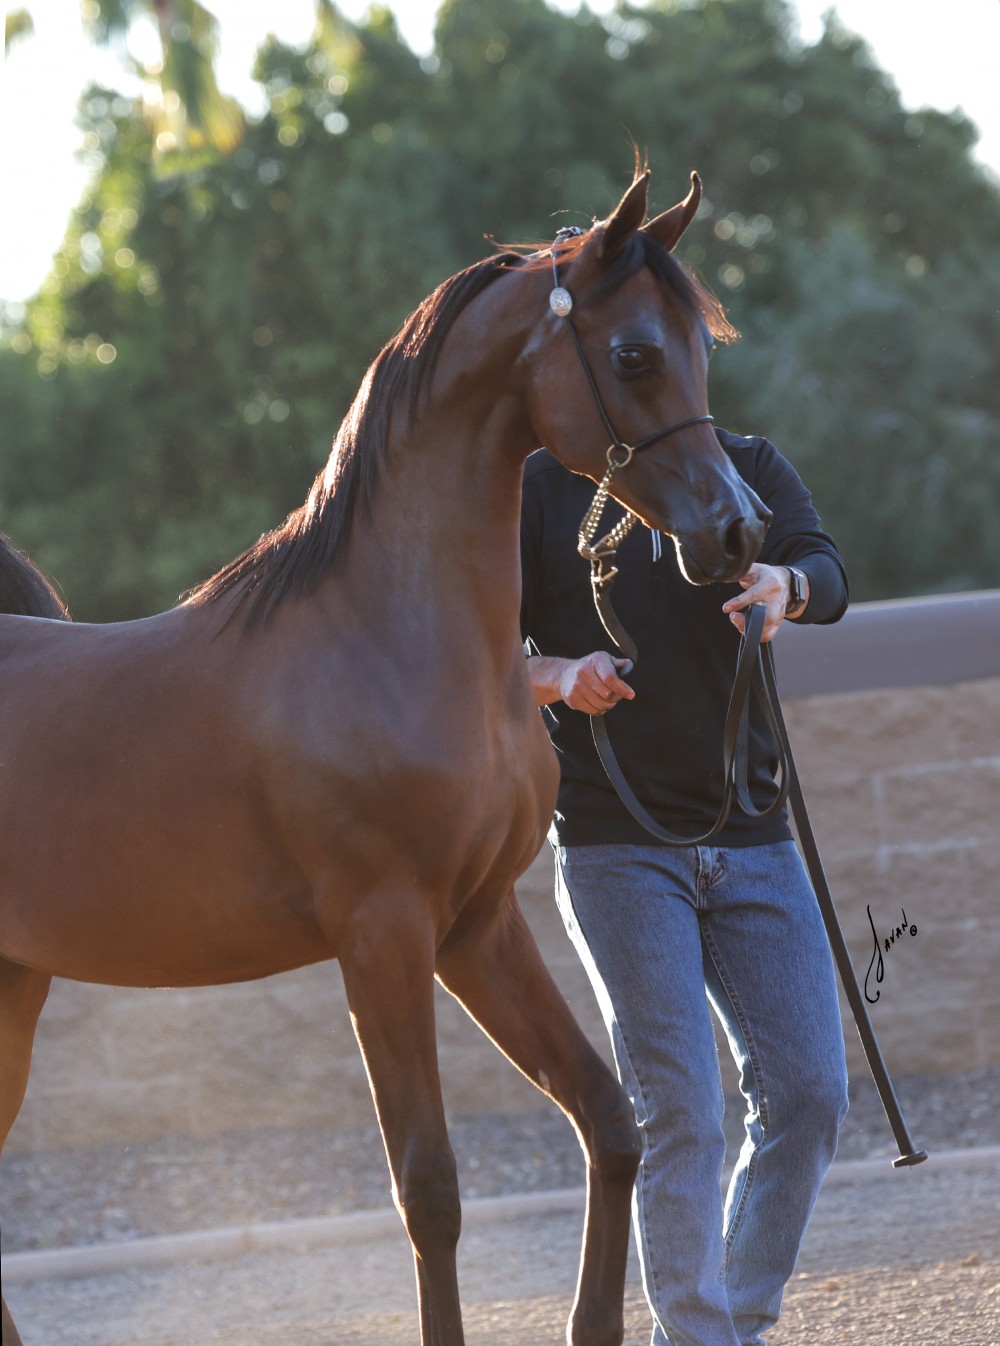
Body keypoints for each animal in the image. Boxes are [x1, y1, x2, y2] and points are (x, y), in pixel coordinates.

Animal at [0, 170, 769, 1346]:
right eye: (635, 353)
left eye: (700, 348)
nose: (737, 534)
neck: (387, 635)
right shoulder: (381, 935)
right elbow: (430, 1188)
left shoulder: (476, 927)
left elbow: (609, 1122)